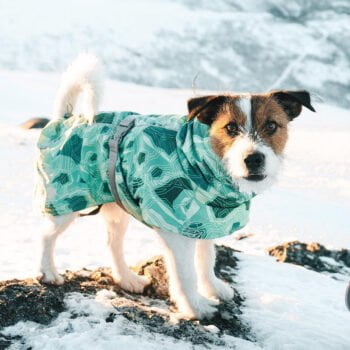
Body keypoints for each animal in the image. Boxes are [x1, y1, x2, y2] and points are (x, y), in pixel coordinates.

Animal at [37, 53, 316, 318]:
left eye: (272, 125)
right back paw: (48, 272)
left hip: (116, 205)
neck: (199, 160)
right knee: (47, 236)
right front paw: (196, 307)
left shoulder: (205, 222)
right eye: (230, 127)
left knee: (112, 243)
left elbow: (206, 260)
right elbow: (186, 275)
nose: (254, 159)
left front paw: (213, 288)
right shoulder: (176, 229)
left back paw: (127, 279)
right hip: (65, 200)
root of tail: (64, 118)